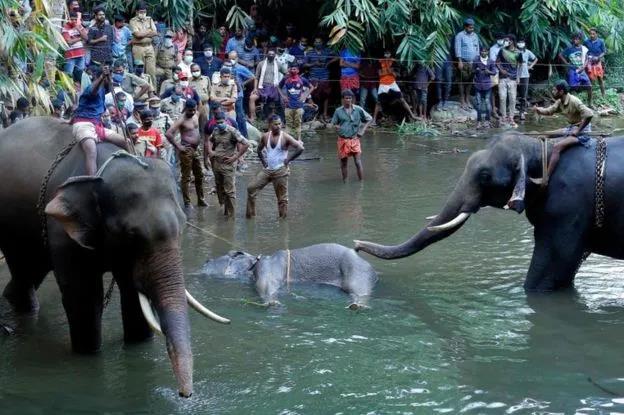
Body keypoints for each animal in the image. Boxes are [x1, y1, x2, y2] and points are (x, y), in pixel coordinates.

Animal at [202, 242, 378, 308]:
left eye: (208, 261)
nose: (205, 260)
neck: (253, 263)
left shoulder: (267, 269)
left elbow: (266, 286)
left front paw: (272, 302)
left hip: (356, 271)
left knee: (359, 291)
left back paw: (356, 305)